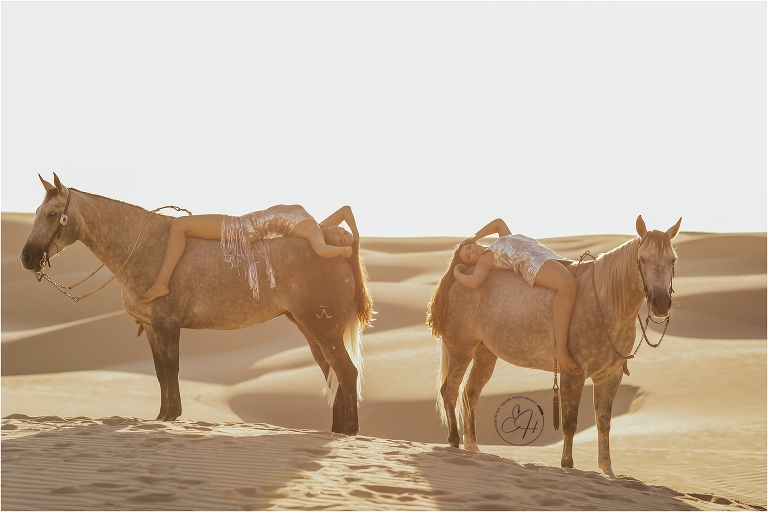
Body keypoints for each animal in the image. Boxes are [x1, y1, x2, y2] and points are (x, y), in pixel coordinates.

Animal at [19, 174, 372, 436]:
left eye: (51, 214)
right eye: (36, 213)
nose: (27, 258)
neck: (148, 246)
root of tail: (336, 251)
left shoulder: (166, 323)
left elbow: (171, 369)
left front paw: (172, 415)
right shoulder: (151, 327)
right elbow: (161, 372)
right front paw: (163, 415)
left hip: (322, 329)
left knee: (346, 372)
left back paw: (350, 433)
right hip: (311, 330)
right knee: (334, 374)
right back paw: (338, 430)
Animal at [428, 216, 681, 477]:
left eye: (672, 260)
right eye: (643, 259)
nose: (661, 303)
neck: (605, 301)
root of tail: (458, 279)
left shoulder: (611, 376)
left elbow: (603, 421)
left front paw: (607, 468)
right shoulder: (573, 375)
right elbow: (570, 422)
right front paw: (567, 464)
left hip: (485, 354)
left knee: (470, 394)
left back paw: (472, 446)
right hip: (461, 349)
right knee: (450, 390)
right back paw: (454, 441)